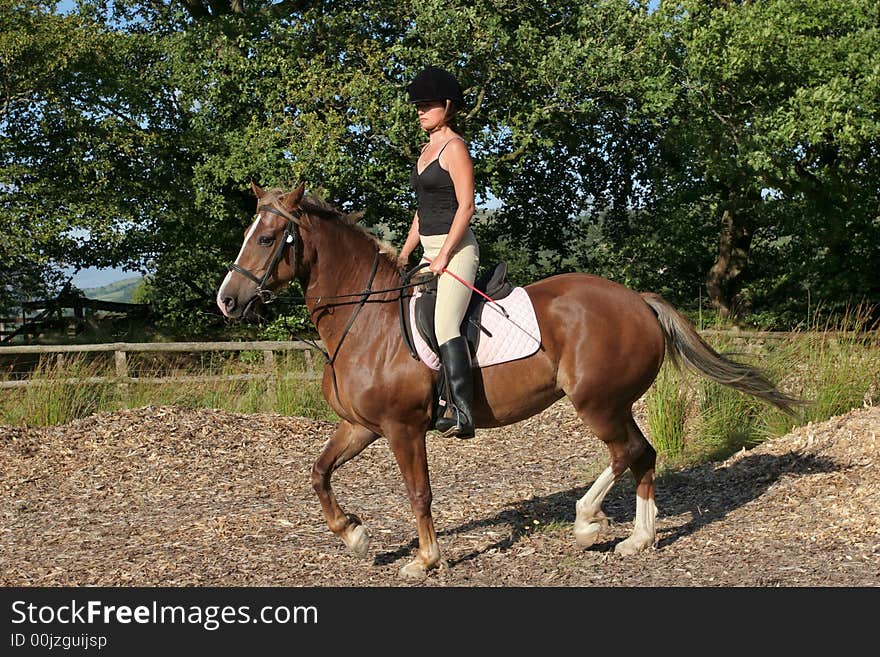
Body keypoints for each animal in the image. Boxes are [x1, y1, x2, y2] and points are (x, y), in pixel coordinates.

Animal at [217, 181, 800, 580]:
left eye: (266, 238)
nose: (227, 301)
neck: (366, 318)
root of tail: (637, 300)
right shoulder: (362, 426)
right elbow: (318, 473)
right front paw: (355, 536)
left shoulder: (403, 429)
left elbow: (418, 492)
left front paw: (425, 560)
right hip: (615, 403)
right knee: (644, 454)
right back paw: (638, 539)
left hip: (597, 403)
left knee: (626, 453)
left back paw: (588, 523)